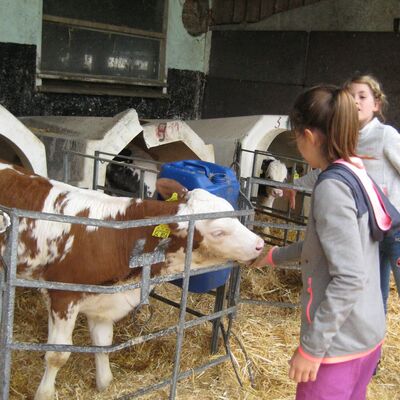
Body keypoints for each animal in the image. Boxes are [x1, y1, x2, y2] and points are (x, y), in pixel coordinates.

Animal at [0, 162, 264, 400]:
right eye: (219, 232)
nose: (260, 244)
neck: (118, 237)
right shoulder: (62, 297)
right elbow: (57, 355)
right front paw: (44, 393)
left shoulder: (104, 300)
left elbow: (103, 343)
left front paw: (105, 383)